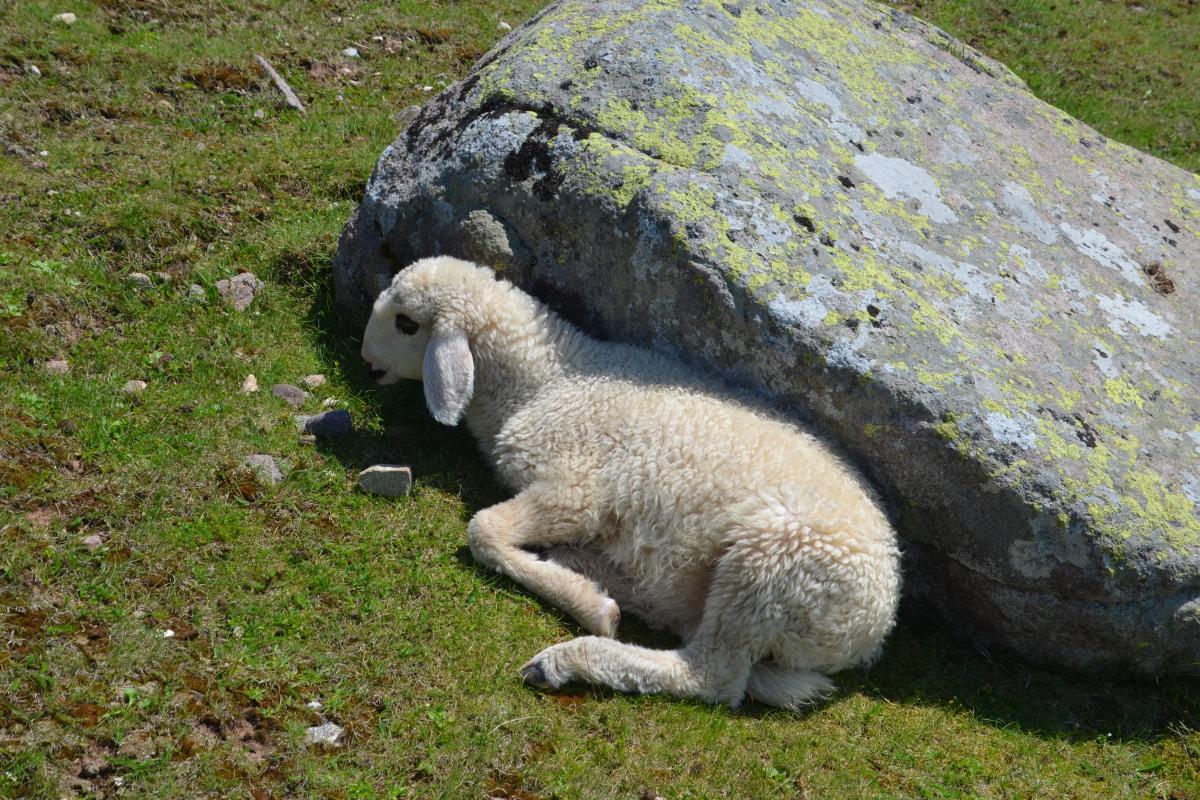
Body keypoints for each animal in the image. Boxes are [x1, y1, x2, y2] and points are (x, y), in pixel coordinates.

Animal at [357, 255, 902, 705]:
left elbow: (483, 531)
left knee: (711, 678)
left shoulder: (573, 489)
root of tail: (874, 629)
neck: (544, 382)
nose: (367, 363)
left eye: (407, 323)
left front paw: (591, 607)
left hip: (770, 563)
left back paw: (569, 658)